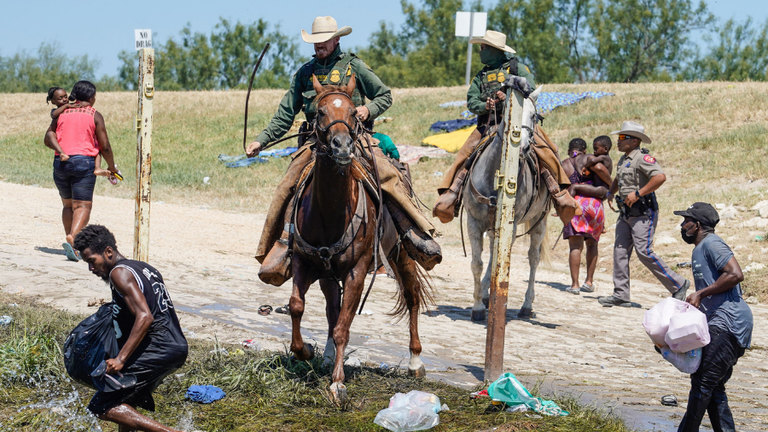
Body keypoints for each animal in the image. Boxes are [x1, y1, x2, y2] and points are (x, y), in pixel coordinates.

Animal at [290, 73, 432, 402]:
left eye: (354, 113)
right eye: (319, 111)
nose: (342, 146)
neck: (329, 211)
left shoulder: (357, 271)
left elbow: (344, 326)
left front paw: (337, 383)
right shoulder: (305, 262)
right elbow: (297, 306)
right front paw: (304, 351)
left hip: (401, 255)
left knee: (412, 297)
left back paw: (415, 361)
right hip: (329, 275)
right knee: (332, 309)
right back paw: (328, 355)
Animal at [464, 87, 548, 320]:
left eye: (534, 116)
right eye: (510, 113)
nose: (524, 147)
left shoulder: (512, 223)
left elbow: (500, 262)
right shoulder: (473, 221)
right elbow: (477, 263)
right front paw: (477, 306)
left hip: (539, 222)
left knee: (533, 258)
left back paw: (526, 306)